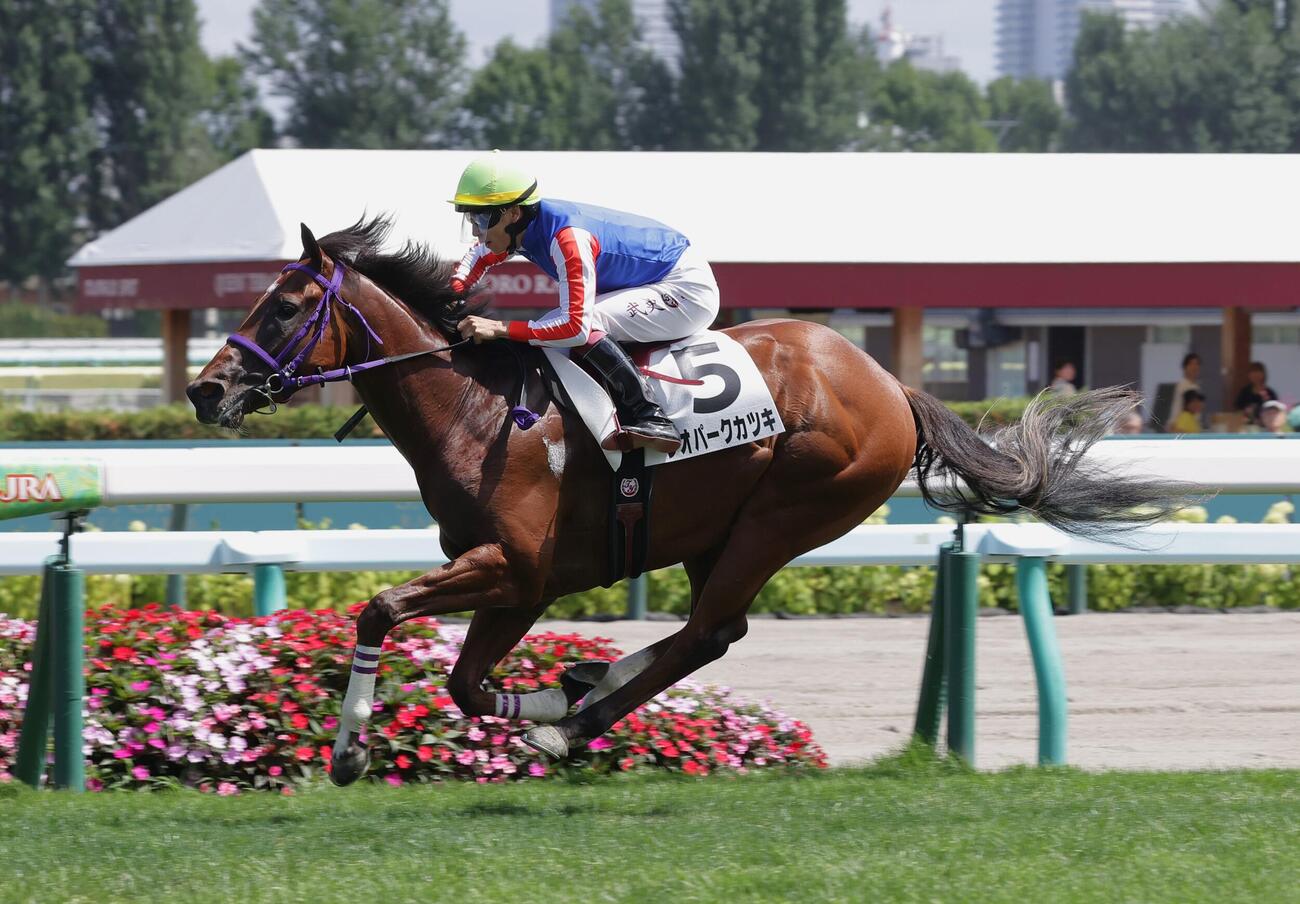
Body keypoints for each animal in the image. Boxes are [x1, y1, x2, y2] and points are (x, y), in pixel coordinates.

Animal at [188, 217, 1183, 785]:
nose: (206, 390)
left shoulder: (515, 570)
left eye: (285, 307)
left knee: (708, 631)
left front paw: (353, 750)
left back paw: (577, 722)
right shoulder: (514, 580)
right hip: (720, 529)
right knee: (712, 630)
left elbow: (387, 615)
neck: (477, 408)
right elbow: (464, 681)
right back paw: (585, 695)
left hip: (787, 512)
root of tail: (892, 385)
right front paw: (549, 693)